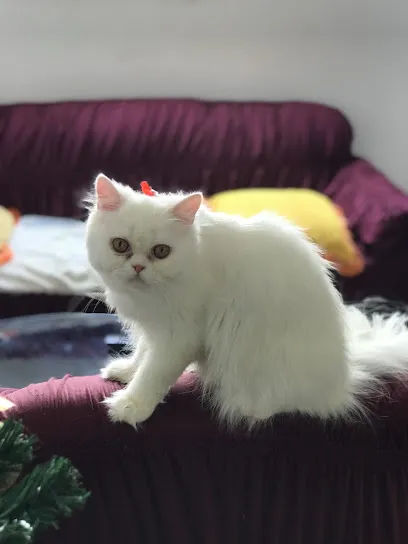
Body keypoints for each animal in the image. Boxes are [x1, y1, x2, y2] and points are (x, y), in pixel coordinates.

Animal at [84, 173, 408, 424]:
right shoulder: (155, 328)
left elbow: (152, 375)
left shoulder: (179, 336)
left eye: (161, 252)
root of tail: (344, 379)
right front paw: (125, 371)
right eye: (120, 245)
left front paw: (130, 407)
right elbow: (141, 355)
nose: (138, 267)